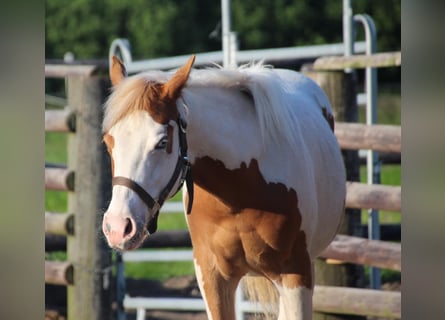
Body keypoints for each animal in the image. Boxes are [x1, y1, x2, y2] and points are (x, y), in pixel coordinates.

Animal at [102, 55, 346, 320]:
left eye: (162, 142)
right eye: (108, 141)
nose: (118, 228)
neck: (240, 193)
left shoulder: (296, 275)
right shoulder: (212, 276)